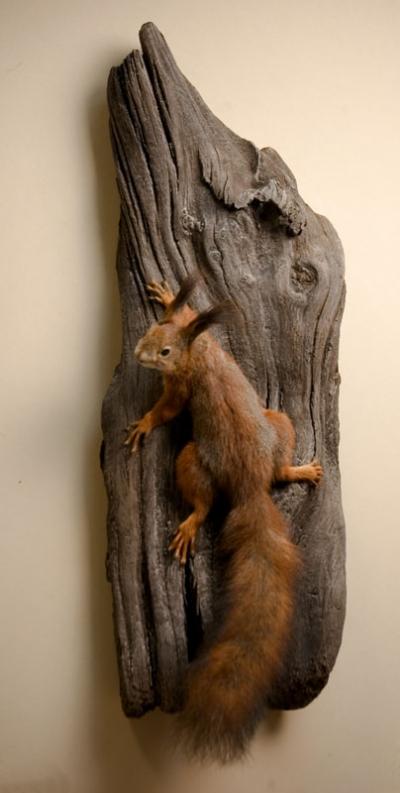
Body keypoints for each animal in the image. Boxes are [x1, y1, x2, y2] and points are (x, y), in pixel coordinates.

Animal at [125, 275, 323, 763]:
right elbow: (186, 309)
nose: (138, 352)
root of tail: (249, 486)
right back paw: (299, 471)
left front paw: (145, 422)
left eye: (165, 353)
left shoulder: (181, 384)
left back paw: (193, 521)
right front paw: (166, 294)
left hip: (193, 458)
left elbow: (167, 410)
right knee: (278, 469)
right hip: (282, 422)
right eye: (152, 329)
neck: (198, 349)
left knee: (204, 501)